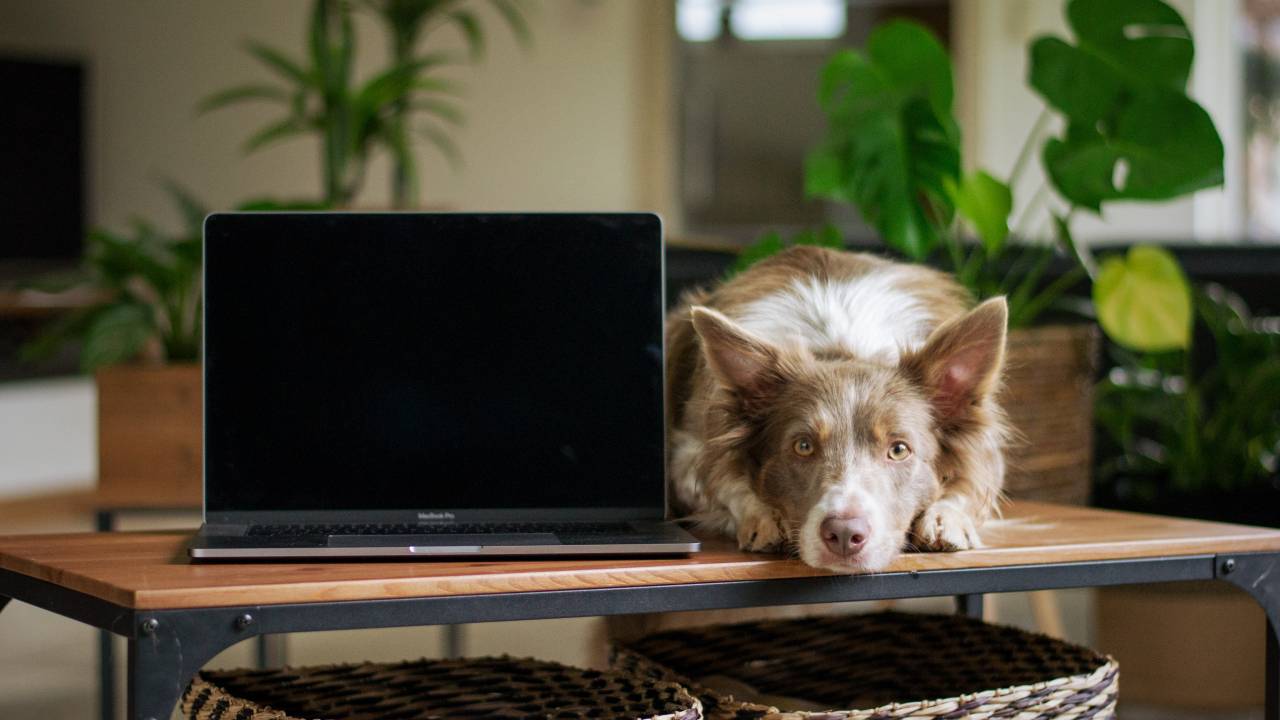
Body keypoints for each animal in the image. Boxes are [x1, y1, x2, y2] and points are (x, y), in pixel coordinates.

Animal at [665, 245, 1003, 571]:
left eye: (898, 450)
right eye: (803, 446)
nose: (843, 534)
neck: (842, 350)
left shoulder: (986, 452)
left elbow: (973, 484)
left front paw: (946, 518)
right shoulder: (688, 454)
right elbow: (724, 482)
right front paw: (763, 515)